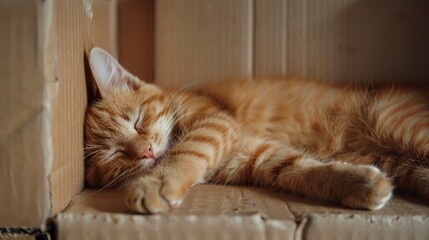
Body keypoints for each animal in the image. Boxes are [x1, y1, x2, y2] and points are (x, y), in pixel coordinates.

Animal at [85, 47, 426, 213]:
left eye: (138, 120)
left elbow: (187, 151)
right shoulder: (262, 157)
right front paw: (359, 184)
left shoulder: (215, 122)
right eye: (115, 154)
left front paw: (157, 183)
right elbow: (307, 170)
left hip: (393, 120)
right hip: (405, 163)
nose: (145, 151)